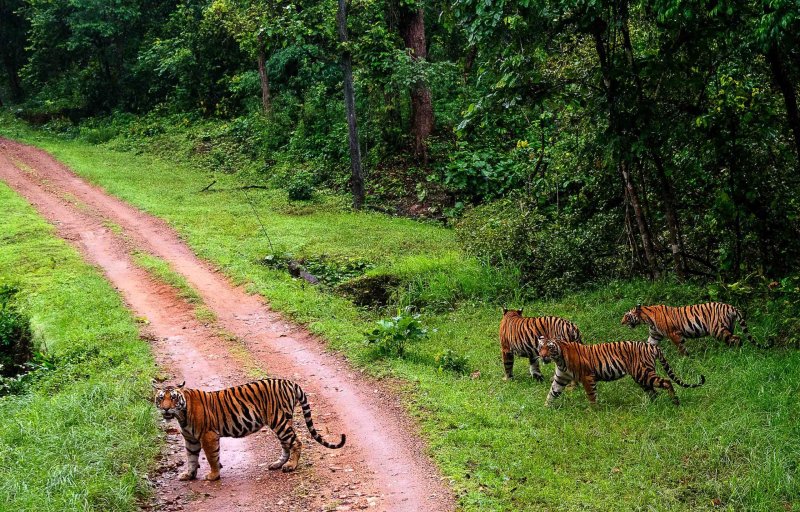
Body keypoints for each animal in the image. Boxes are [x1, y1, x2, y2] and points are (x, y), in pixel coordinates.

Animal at [155, 376, 346, 480]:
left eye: (173, 398)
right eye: (161, 398)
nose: (166, 408)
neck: (181, 415)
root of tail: (289, 382)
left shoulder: (208, 436)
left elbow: (211, 457)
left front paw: (213, 476)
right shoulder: (190, 439)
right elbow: (191, 458)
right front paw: (188, 475)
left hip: (279, 421)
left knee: (296, 442)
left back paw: (291, 466)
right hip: (283, 422)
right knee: (287, 444)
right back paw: (278, 464)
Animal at [536, 338, 704, 406]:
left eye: (549, 347)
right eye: (540, 347)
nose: (543, 356)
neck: (559, 360)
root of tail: (652, 346)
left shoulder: (587, 377)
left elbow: (591, 395)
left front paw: (594, 411)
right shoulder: (560, 378)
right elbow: (552, 393)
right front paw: (545, 408)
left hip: (643, 373)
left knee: (667, 382)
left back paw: (675, 403)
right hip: (641, 376)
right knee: (654, 392)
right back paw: (652, 406)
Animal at [620, 302, 768, 354]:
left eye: (627, 316)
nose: (621, 322)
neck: (647, 318)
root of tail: (730, 307)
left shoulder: (674, 334)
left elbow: (681, 347)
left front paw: (685, 358)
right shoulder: (655, 335)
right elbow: (649, 344)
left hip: (717, 330)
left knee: (737, 339)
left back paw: (736, 353)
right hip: (727, 327)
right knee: (732, 338)